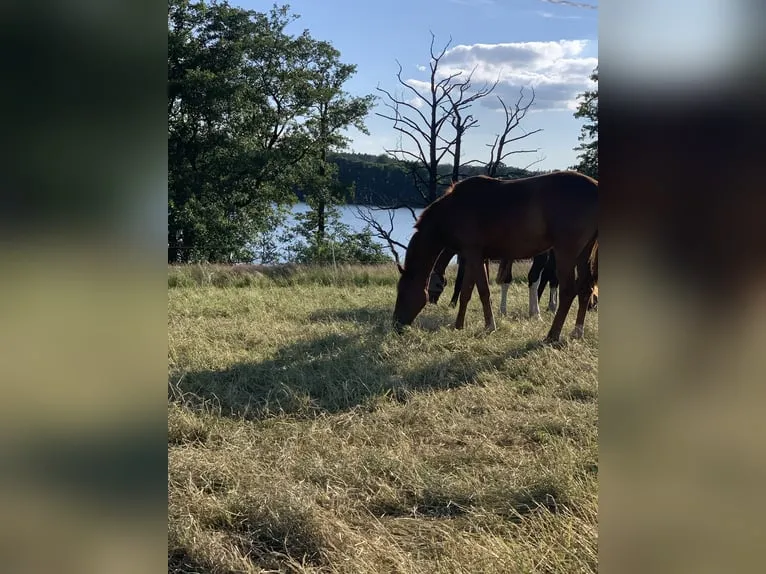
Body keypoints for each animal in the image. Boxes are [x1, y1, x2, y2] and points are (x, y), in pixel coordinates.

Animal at [396, 170, 600, 342]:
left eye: (403, 292)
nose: (396, 324)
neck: (454, 209)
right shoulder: (473, 257)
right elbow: (466, 292)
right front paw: (458, 326)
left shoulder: (474, 255)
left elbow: (483, 291)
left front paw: (489, 326)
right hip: (583, 254)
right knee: (585, 289)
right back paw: (577, 332)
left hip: (566, 253)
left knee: (567, 291)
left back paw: (552, 335)